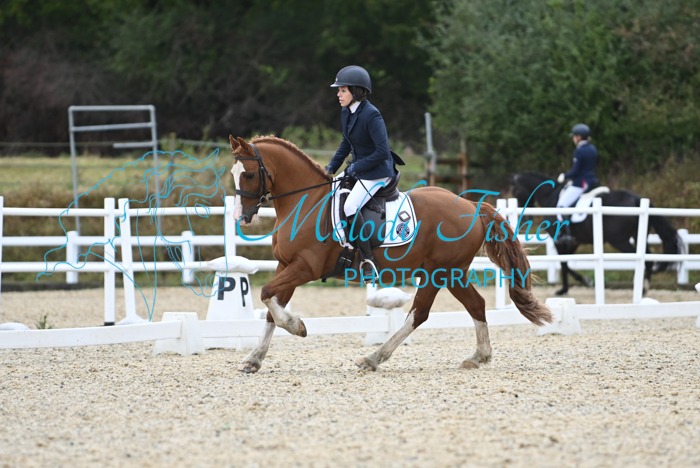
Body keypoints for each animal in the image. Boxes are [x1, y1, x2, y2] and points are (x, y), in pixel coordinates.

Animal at [229, 135, 552, 373]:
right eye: (233, 174)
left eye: (248, 174)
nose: (242, 217)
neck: (305, 202)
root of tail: (471, 207)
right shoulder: (285, 265)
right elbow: (272, 307)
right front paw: (254, 359)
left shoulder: (305, 267)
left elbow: (267, 296)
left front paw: (298, 327)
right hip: (452, 273)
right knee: (475, 305)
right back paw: (478, 356)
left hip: (439, 272)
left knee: (419, 313)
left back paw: (373, 358)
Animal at [511, 172, 680, 295]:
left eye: (516, 191)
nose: (525, 217)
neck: (550, 195)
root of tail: (637, 199)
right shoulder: (574, 242)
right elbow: (566, 263)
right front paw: (579, 283)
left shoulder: (559, 240)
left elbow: (564, 263)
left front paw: (573, 286)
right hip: (638, 236)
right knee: (648, 259)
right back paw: (644, 289)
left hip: (619, 240)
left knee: (642, 259)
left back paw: (642, 289)